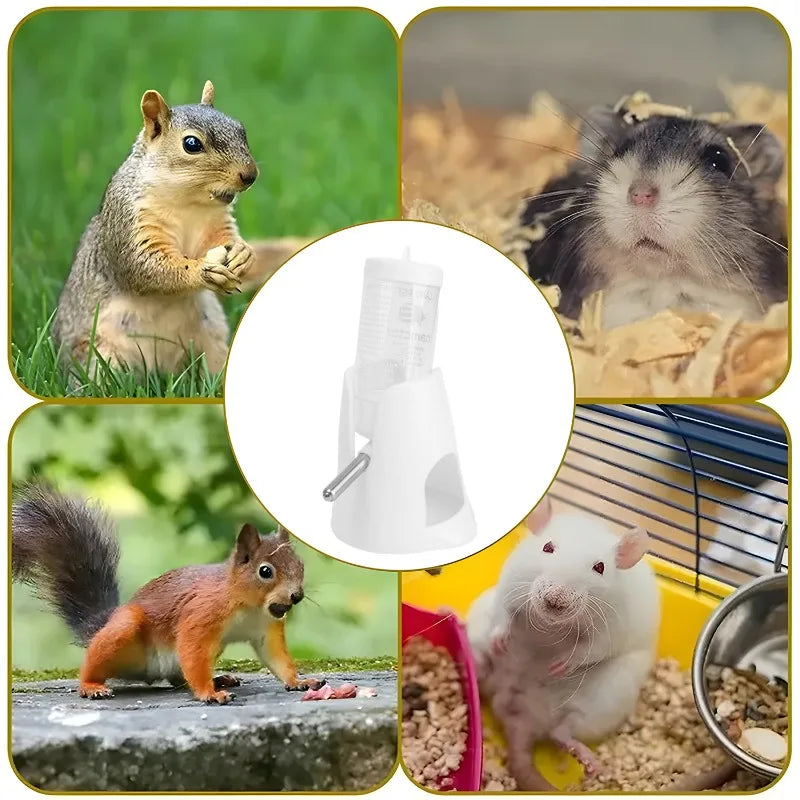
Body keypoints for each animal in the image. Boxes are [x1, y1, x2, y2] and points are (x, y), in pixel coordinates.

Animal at [466, 496, 660, 789]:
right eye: (547, 547)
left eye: (599, 567)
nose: (555, 599)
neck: (550, 625)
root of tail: (519, 720)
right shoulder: (509, 585)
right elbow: (503, 611)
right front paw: (500, 637)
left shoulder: (611, 626)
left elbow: (593, 649)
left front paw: (561, 665)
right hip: (479, 629)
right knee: (479, 666)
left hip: (606, 699)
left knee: (563, 732)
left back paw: (585, 757)